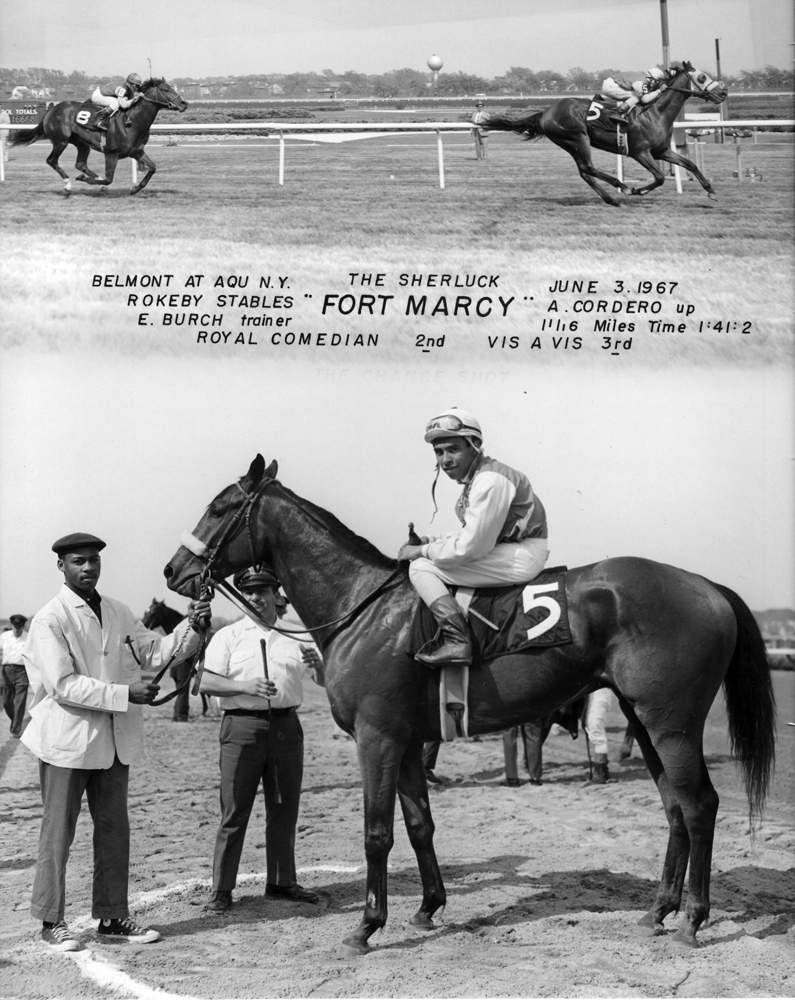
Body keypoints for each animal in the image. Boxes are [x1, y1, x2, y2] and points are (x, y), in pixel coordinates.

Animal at [10, 77, 187, 196]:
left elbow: (153, 168)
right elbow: (109, 179)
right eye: (165, 90)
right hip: (61, 141)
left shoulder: (137, 151)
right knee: (52, 160)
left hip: (82, 143)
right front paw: (86, 181)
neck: (132, 121)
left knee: (80, 164)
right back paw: (68, 186)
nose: (184, 103)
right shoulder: (111, 153)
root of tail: (51, 110)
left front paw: (135, 188)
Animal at [163, 456, 776, 952]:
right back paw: (659, 911)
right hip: (644, 723)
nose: (175, 570)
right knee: (675, 808)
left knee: (699, 806)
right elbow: (419, 825)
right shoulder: (408, 742)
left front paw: (366, 926)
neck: (361, 607)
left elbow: (377, 832)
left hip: (671, 725)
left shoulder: (377, 737)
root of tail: (706, 585)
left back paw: (692, 920)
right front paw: (428, 907)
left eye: (218, 508)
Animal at [486, 61, 728, 206]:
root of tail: (545, 112)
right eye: (703, 77)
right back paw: (622, 187)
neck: (655, 112)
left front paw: (711, 191)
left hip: (569, 144)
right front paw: (637, 190)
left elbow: (690, 164)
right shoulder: (640, 152)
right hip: (578, 138)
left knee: (584, 171)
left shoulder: (661, 151)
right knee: (589, 167)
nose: (724, 93)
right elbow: (659, 177)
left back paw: (612, 199)